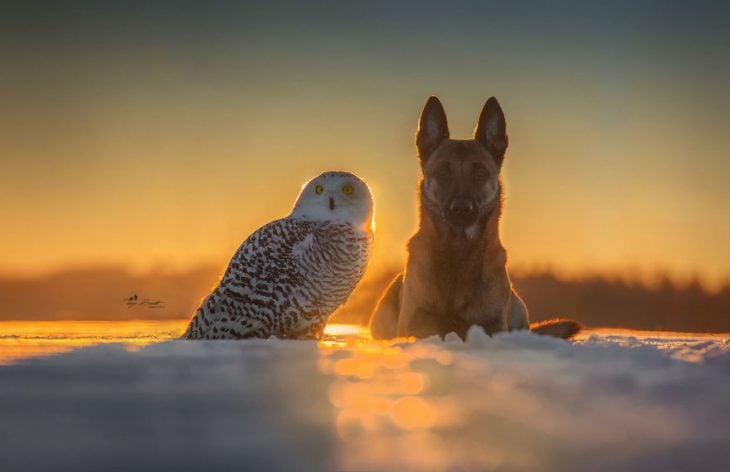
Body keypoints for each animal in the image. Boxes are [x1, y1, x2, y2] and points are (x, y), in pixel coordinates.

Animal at [370, 96, 580, 340]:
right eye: (443, 172)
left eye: (480, 174)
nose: (462, 208)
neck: (459, 248)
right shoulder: (416, 325)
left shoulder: (493, 326)